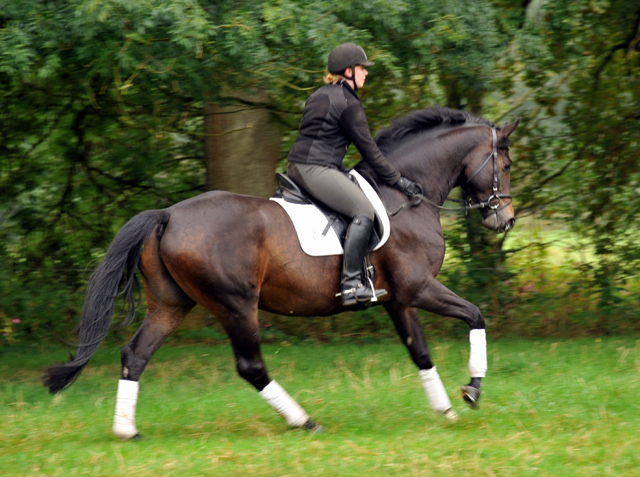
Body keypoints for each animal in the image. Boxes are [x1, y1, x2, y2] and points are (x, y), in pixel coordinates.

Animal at [41, 106, 520, 436]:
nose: (506, 219)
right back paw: (304, 421)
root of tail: (168, 215)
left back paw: (126, 430)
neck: (406, 197)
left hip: (172, 305)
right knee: (251, 366)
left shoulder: (398, 299)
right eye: (506, 165)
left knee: (135, 354)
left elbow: (419, 351)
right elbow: (475, 315)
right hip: (235, 305)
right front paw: (473, 390)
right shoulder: (419, 287)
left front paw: (447, 410)